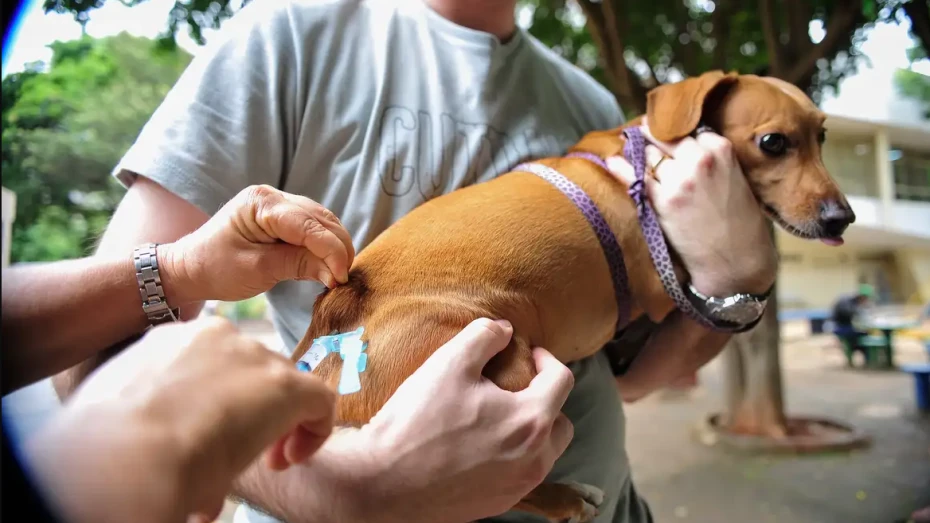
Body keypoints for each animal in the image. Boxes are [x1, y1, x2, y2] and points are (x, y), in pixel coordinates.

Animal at [294, 70, 852, 523]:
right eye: (773, 142)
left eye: (823, 136)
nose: (841, 218)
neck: (639, 159)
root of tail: (334, 322)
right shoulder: (662, 289)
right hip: (507, 370)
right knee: (491, 487)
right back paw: (567, 498)